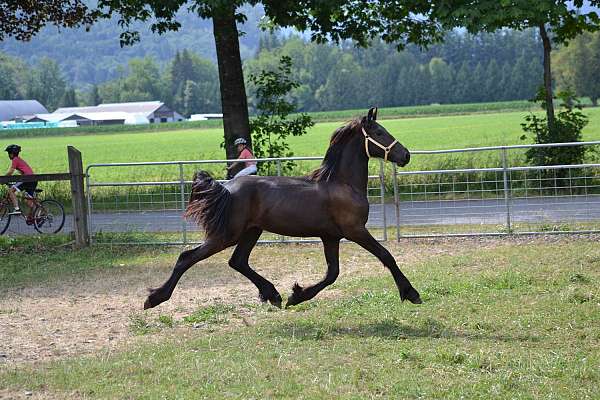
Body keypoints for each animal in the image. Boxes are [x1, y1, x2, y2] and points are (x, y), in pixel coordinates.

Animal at [144, 107, 422, 310]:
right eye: (380, 132)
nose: (406, 155)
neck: (343, 184)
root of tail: (226, 187)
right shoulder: (355, 230)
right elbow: (386, 256)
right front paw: (411, 293)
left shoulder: (331, 237)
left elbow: (332, 273)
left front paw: (297, 295)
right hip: (227, 234)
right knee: (187, 257)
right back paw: (154, 298)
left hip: (251, 231)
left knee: (237, 261)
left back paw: (273, 294)